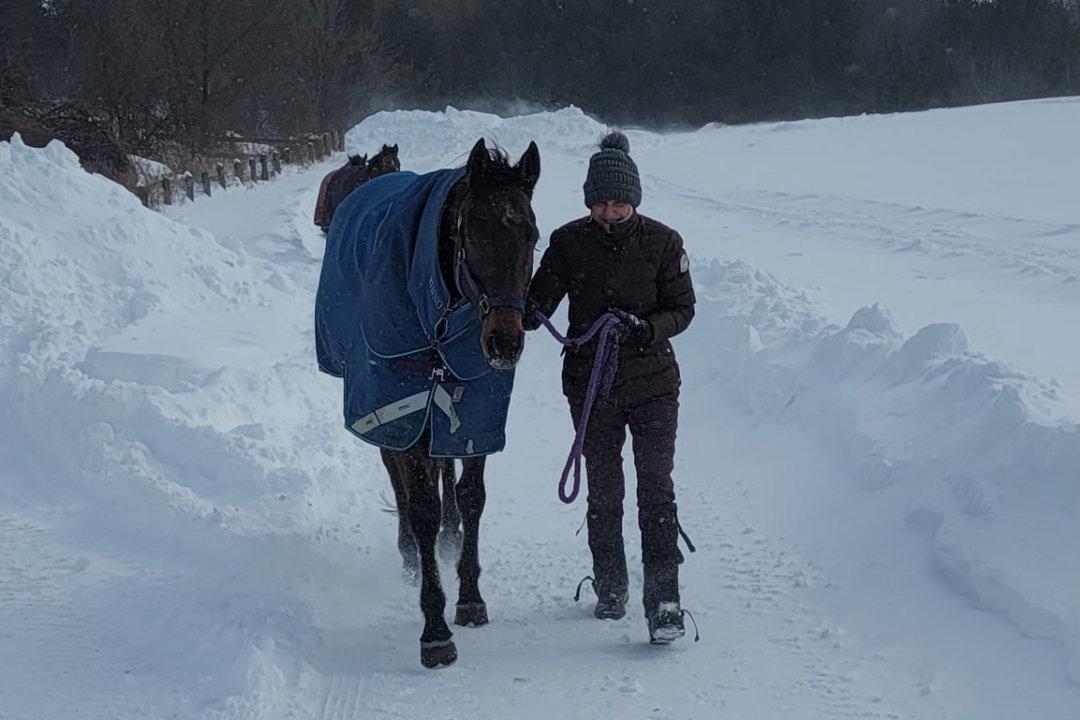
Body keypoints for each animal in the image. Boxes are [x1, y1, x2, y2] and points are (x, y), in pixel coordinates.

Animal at [314, 138, 541, 669]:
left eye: (532, 235)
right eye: (472, 234)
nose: (505, 343)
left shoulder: (476, 407)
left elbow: (471, 495)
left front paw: (471, 597)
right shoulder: (399, 405)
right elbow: (419, 506)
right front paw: (435, 630)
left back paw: (447, 535)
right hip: (386, 411)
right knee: (397, 475)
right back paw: (411, 554)